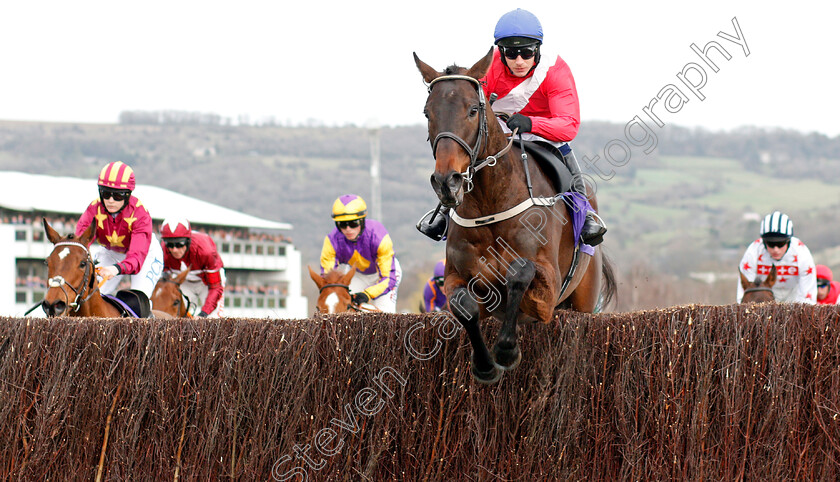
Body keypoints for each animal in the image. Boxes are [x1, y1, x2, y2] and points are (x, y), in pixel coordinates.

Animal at [414, 50, 616, 384]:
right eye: (428, 113)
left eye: (473, 110)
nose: (447, 181)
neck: (490, 205)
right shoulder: (457, 277)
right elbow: (463, 305)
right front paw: (484, 365)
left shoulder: (547, 291)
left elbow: (519, 272)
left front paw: (506, 350)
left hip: (584, 300)